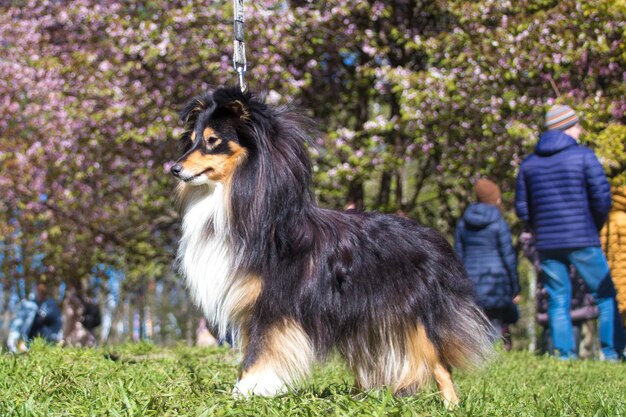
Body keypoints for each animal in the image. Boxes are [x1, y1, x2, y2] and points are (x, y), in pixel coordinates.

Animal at [171, 87, 492, 404]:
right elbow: (251, 352)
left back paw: (451, 405)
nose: (174, 168)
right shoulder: (252, 308)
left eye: (213, 141)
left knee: (440, 363)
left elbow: (258, 354)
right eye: (192, 139)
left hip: (416, 317)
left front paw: (246, 392)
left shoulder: (272, 306)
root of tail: (435, 239)